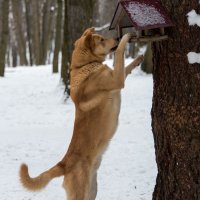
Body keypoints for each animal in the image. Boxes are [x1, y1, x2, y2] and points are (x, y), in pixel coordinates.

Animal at [19, 27, 144, 199]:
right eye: (102, 40)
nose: (116, 38)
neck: (84, 65)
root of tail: (64, 164)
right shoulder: (116, 80)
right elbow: (119, 53)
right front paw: (125, 38)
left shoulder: (116, 77)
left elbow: (126, 66)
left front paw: (139, 58)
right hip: (81, 193)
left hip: (92, 190)